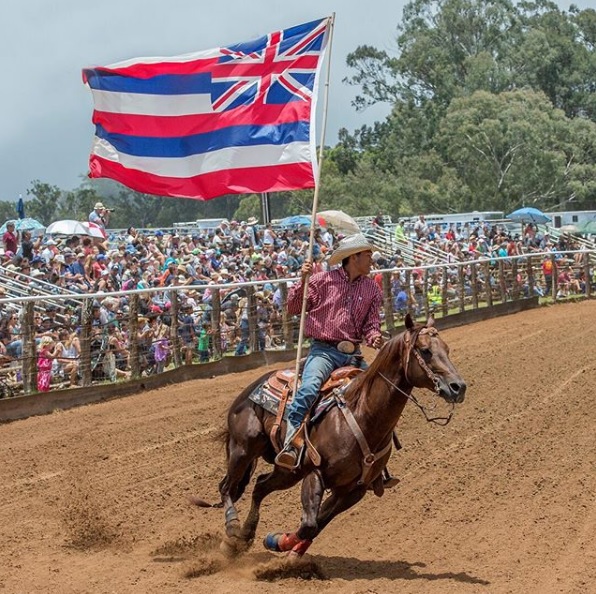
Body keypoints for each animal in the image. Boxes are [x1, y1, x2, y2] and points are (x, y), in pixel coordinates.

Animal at [196, 316, 466, 556]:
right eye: (425, 351)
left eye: (447, 349)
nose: (458, 387)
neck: (362, 414)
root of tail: (251, 389)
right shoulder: (315, 473)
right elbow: (309, 524)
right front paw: (276, 541)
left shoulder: (353, 490)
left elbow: (316, 526)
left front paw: (288, 551)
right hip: (243, 449)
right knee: (227, 487)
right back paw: (232, 531)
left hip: (287, 472)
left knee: (260, 486)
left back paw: (245, 535)